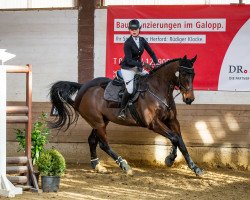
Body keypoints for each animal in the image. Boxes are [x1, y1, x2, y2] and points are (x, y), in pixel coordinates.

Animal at [49, 55, 204, 176]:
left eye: (194, 74)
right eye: (183, 74)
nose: (189, 99)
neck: (158, 90)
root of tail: (82, 88)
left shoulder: (172, 120)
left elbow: (180, 141)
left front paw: (194, 167)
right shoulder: (153, 123)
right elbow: (174, 138)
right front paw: (170, 159)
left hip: (101, 121)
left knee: (92, 140)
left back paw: (97, 165)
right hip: (98, 122)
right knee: (104, 144)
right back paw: (124, 165)